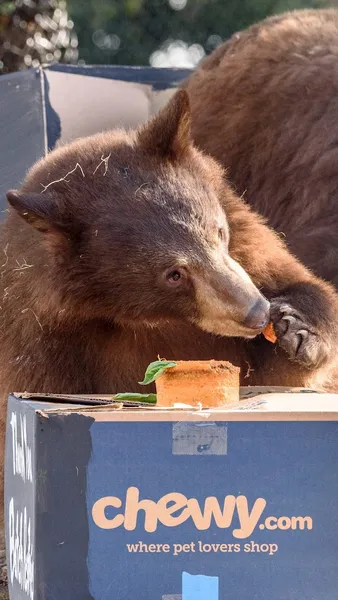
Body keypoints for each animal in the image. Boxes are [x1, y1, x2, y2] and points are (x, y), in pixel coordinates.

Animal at [0, 90, 336, 576]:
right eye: (173, 274)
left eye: (218, 230)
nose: (256, 313)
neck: (137, 318)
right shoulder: (40, 338)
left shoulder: (251, 248)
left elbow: (298, 292)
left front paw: (298, 332)